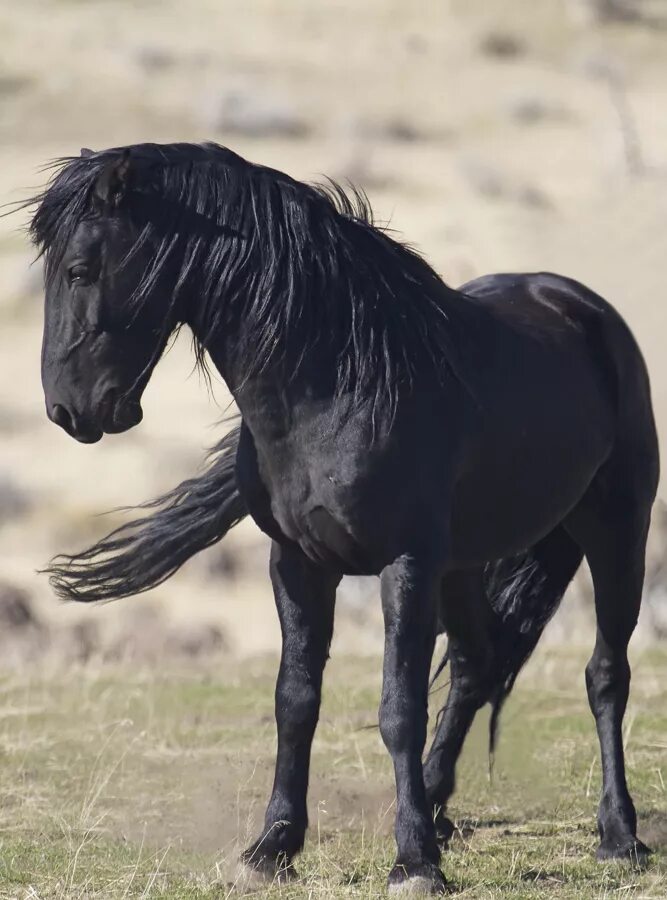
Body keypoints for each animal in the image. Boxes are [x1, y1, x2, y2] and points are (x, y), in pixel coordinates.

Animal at [24, 142, 656, 892]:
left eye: (79, 270)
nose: (68, 409)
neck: (335, 384)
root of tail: (580, 305)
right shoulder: (298, 564)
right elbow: (295, 701)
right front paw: (272, 847)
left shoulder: (403, 564)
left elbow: (398, 709)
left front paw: (413, 863)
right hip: (463, 563)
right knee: (474, 666)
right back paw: (437, 807)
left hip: (616, 531)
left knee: (604, 675)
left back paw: (618, 834)